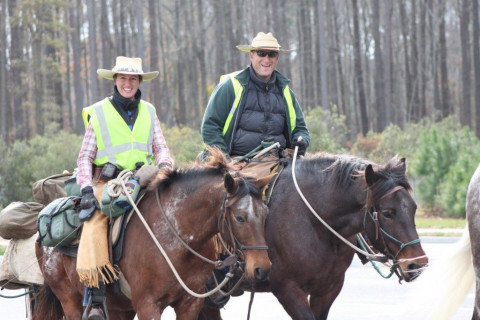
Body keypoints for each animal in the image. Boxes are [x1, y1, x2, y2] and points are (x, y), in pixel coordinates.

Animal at [32, 149, 274, 320]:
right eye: (240, 217)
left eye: (265, 213)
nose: (262, 268)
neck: (175, 238)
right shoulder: (148, 305)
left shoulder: (190, 304)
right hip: (69, 299)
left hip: (120, 307)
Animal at [202, 151, 428, 318]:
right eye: (388, 212)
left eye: (414, 207)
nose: (417, 264)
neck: (313, 222)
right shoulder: (287, 289)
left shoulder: (328, 289)